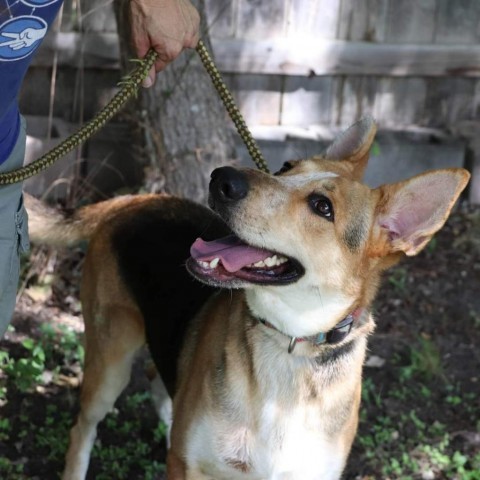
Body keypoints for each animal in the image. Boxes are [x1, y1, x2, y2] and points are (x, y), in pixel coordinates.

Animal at [25, 116, 468, 480]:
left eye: (322, 206)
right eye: (286, 167)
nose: (222, 178)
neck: (290, 344)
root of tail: (134, 199)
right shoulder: (189, 466)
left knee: (156, 376)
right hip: (110, 360)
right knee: (83, 427)